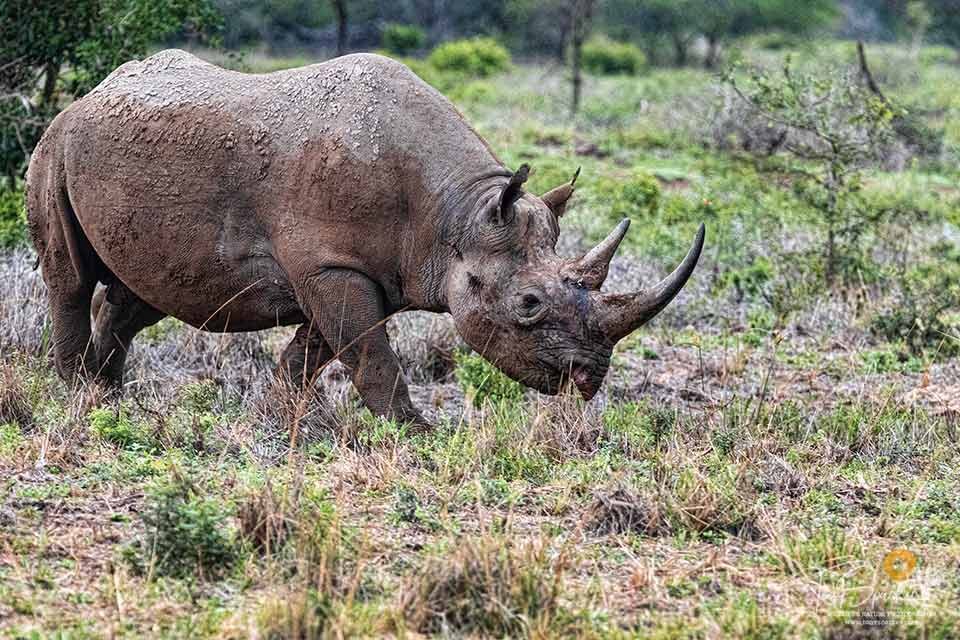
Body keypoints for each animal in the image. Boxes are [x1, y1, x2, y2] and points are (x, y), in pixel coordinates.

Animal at [26, 50, 704, 426]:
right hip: (56, 144)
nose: (588, 379)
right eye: (529, 305)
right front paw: (417, 433)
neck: (460, 214)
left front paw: (279, 412)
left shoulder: (361, 269)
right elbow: (369, 353)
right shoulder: (332, 266)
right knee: (71, 276)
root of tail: (87, 97)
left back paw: (110, 398)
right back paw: (79, 396)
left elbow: (321, 350)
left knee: (142, 294)